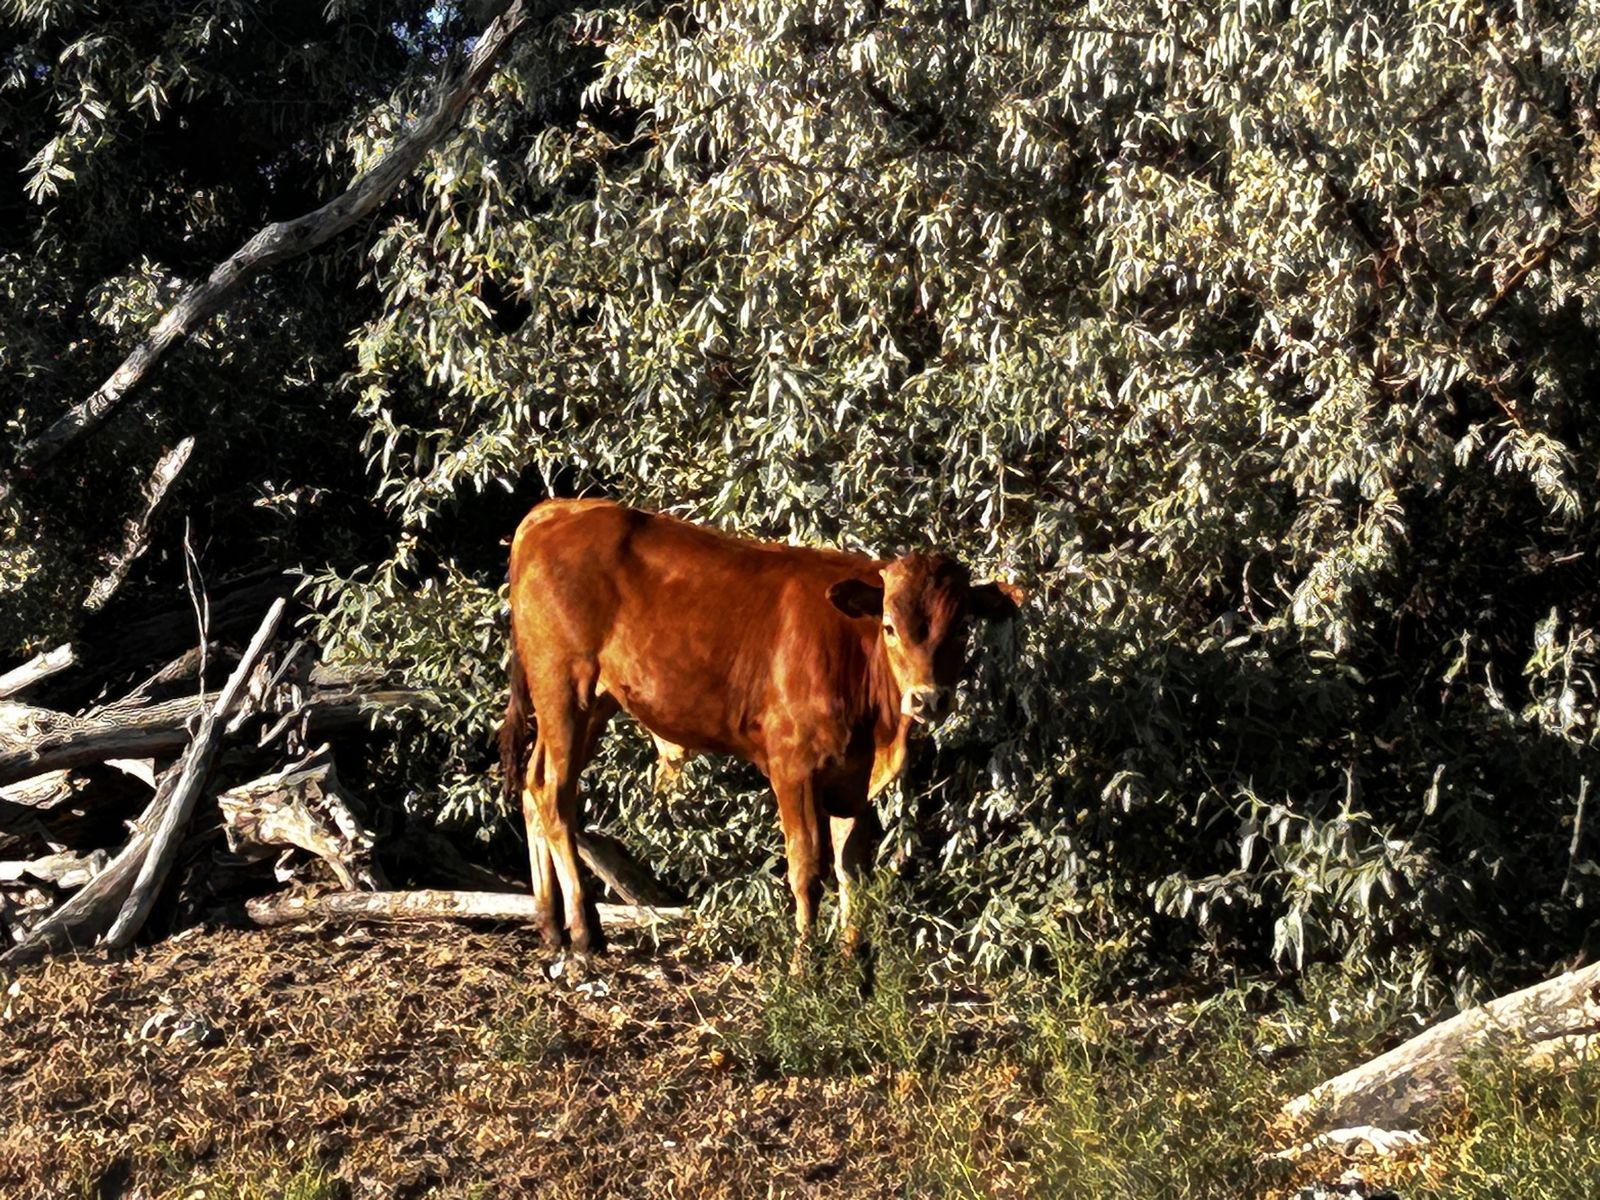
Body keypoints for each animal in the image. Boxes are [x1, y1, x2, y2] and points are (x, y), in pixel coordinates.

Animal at [497, 497, 1023, 960]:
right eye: (890, 626)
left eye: (961, 627)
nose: (927, 697)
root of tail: (555, 509)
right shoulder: (793, 766)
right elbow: (807, 868)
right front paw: (803, 965)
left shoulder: (852, 776)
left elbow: (852, 869)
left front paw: (854, 962)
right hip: (564, 686)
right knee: (553, 794)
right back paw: (583, 933)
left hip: (592, 701)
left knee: (532, 785)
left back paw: (551, 929)